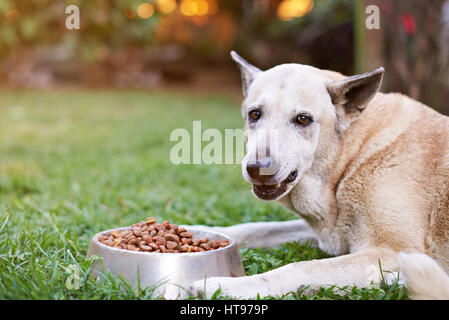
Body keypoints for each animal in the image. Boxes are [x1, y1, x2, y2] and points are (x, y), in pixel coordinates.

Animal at [187, 51, 448, 298]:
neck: (352, 158)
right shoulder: (327, 234)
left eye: (303, 119)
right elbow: (257, 228)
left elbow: (300, 267)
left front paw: (226, 286)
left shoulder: (392, 250)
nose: (257, 168)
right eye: (254, 114)